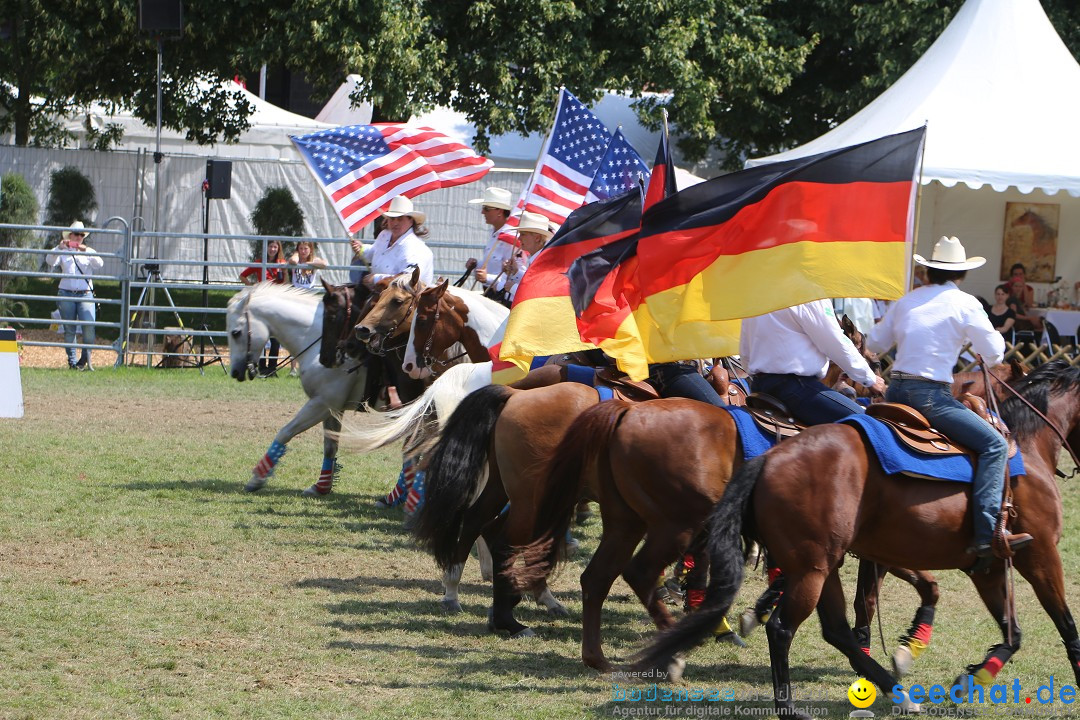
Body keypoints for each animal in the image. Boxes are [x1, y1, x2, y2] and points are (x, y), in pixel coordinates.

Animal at [225, 284, 369, 498]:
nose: (235, 371)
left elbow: (285, 432)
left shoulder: (321, 404)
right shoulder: (333, 408)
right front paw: (321, 487)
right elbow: (330, 446)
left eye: (235, 332)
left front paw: (258, 478)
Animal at [635, 360, 1080, 720]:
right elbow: (1064, 624)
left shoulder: (985, 566)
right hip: (810, 568)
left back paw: (898, 694)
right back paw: (790, 705)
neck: (1026, 451)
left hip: (821, 565)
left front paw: (968, 678)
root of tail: (768, 460)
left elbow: (1010, 631)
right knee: (781, 628)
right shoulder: (1040, 554)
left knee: (835, 629)